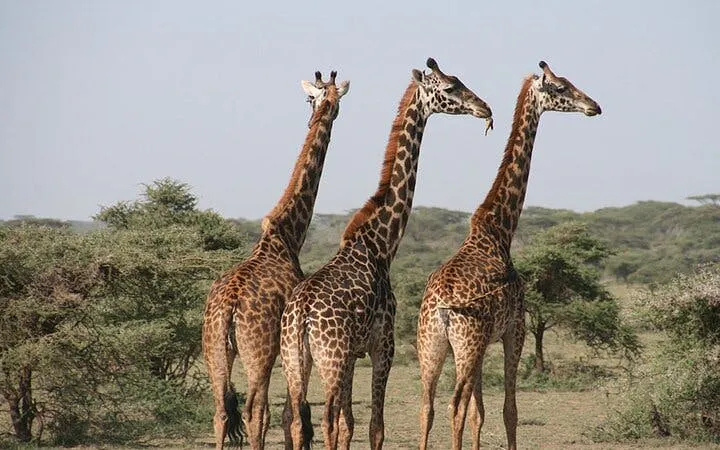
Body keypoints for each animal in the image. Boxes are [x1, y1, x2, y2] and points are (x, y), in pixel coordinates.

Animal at [202, 70, 349, 450]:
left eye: (315, 99)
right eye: (329, 101)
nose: (327, 111)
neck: (287, 235)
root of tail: (228, 308)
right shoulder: (287, 349)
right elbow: (290, 414)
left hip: (213, 350)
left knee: (220, 412)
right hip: (259, 352)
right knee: (256, 411)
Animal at [280, 58, 493, 450]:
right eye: (450, 87)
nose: (484, 108)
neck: (381, 243)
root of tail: (300, 315)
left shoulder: (354, 353)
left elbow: (350, 422)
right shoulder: (384, 345)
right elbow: (374, 426)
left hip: (296, 360)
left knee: (299, 420)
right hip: (330, 359)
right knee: (324, 419)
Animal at [416, 61, 602, 450]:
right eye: (561, 88)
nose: (594, 106)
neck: (500, 230)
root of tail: (441, 308)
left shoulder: (486, 341)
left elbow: (480, 413)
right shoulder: (514, 330)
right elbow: (508, 411)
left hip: (432, 345)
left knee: (427, 406)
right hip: (466, 343)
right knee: (454, 405)